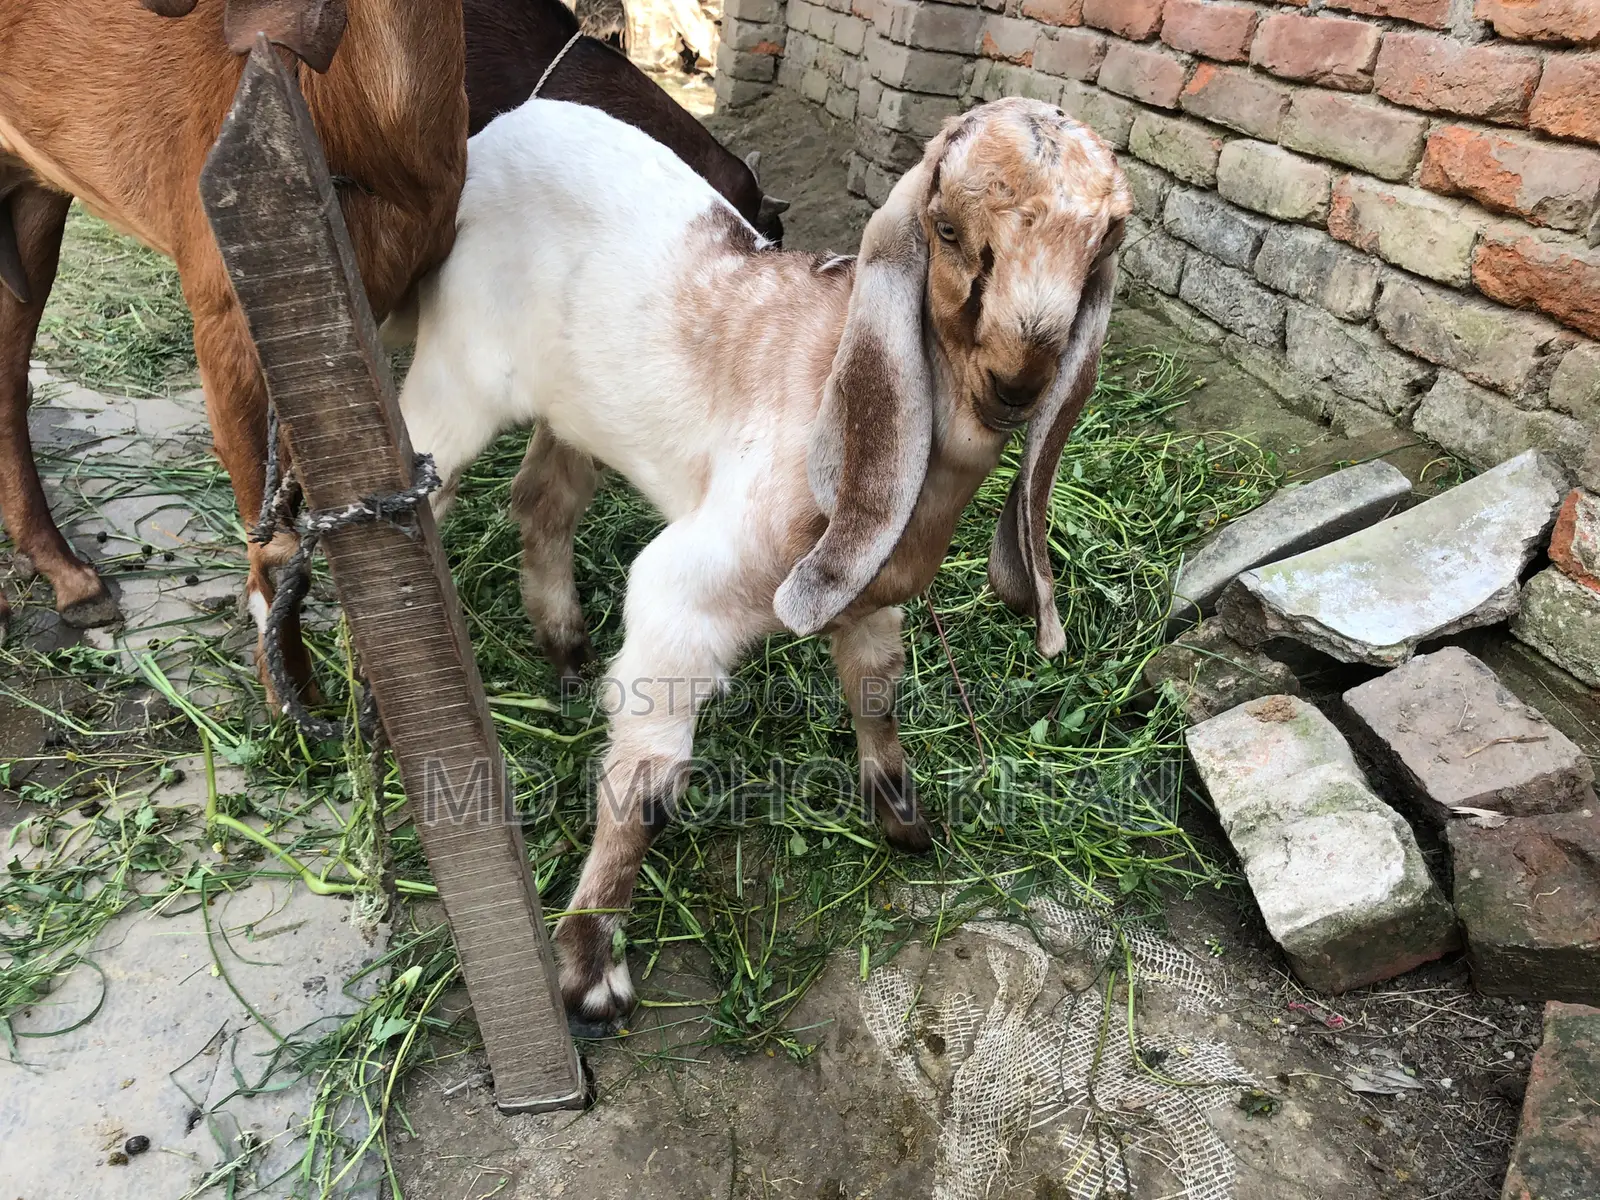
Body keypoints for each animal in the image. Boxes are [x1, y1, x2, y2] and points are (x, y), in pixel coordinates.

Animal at [396, 96, 1130, 1031]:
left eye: (1101, 249)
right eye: (949, 228)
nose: (1018, 380)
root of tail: (502, 127)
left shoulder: (866, 598)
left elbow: (877, 691)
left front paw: (903, 820)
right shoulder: (680, 600)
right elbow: (647, 785)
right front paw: (589, 968)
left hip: (575, 410)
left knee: (542, 503)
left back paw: (563, 649)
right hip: (452, 386)